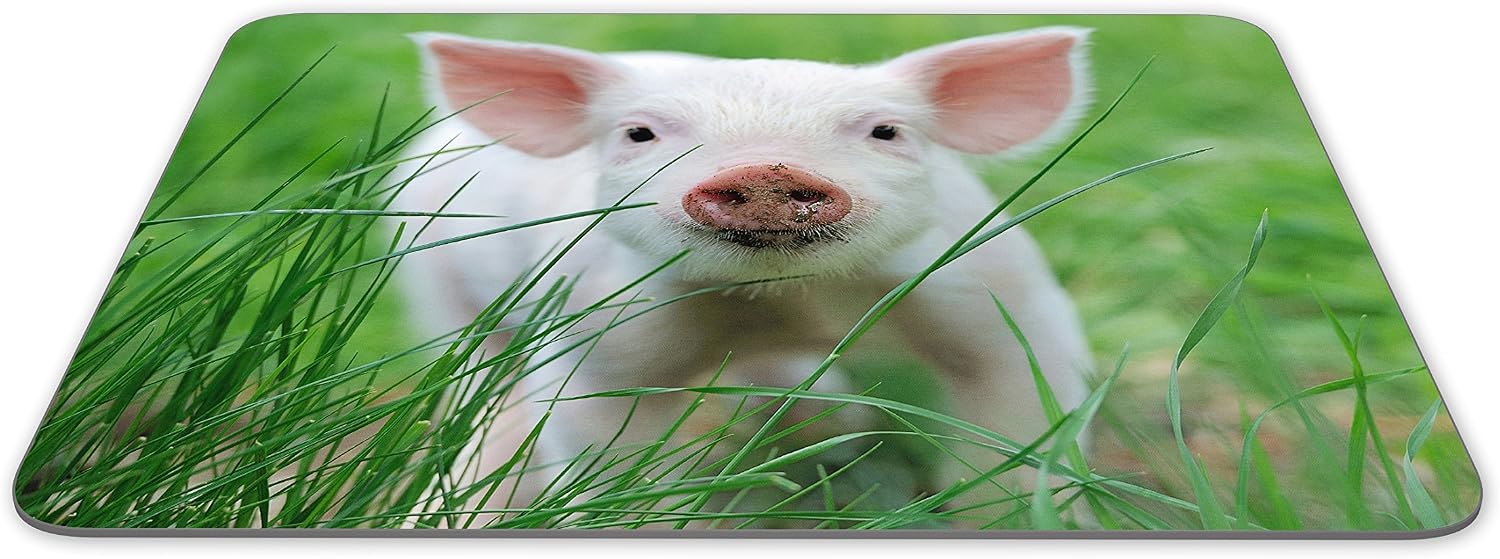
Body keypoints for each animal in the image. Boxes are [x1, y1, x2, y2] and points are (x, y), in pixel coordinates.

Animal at [393, 27, 1094, 520]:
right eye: (639, 133)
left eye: (886, 131)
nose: (766, 171)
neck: (782, 303)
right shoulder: (599, 333)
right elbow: (605, 442)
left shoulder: (997, 297)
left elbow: (1017, 422)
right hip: (434, 279)